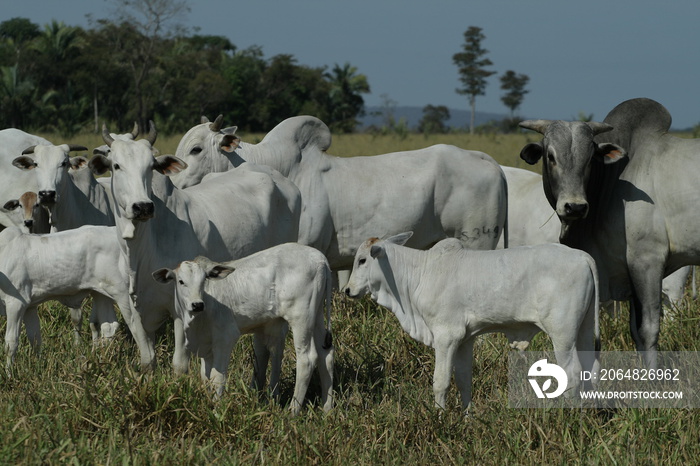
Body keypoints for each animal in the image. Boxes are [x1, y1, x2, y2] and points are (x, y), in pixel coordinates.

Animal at [0, 224, 130, 370]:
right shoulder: (30, 307)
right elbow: (35, 339)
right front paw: (39, 366)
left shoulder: (16, 303)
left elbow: (11, 342)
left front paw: (9, 372)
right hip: (101, 293)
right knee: (108, 326)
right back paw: (103, 359)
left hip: (124, 293)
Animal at [89, 123, 302, 372]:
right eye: (116, 165)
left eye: (152, 166)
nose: (142, 207)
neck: (141, 252)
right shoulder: (134, 310)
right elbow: (147, 360)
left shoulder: (182, 308)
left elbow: (179, 363)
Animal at [154, 244, 334, 416]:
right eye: (181, 281)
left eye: (204, 280)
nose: (197, 305)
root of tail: (320, 259)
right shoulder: (205, 345)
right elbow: (205, 378)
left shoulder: (226, 337)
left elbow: (217, 377)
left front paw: (217, 411)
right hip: (317, 315)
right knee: (326, 355)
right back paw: (326, 409)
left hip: (301, 318)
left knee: (307, 359)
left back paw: (293, 411)